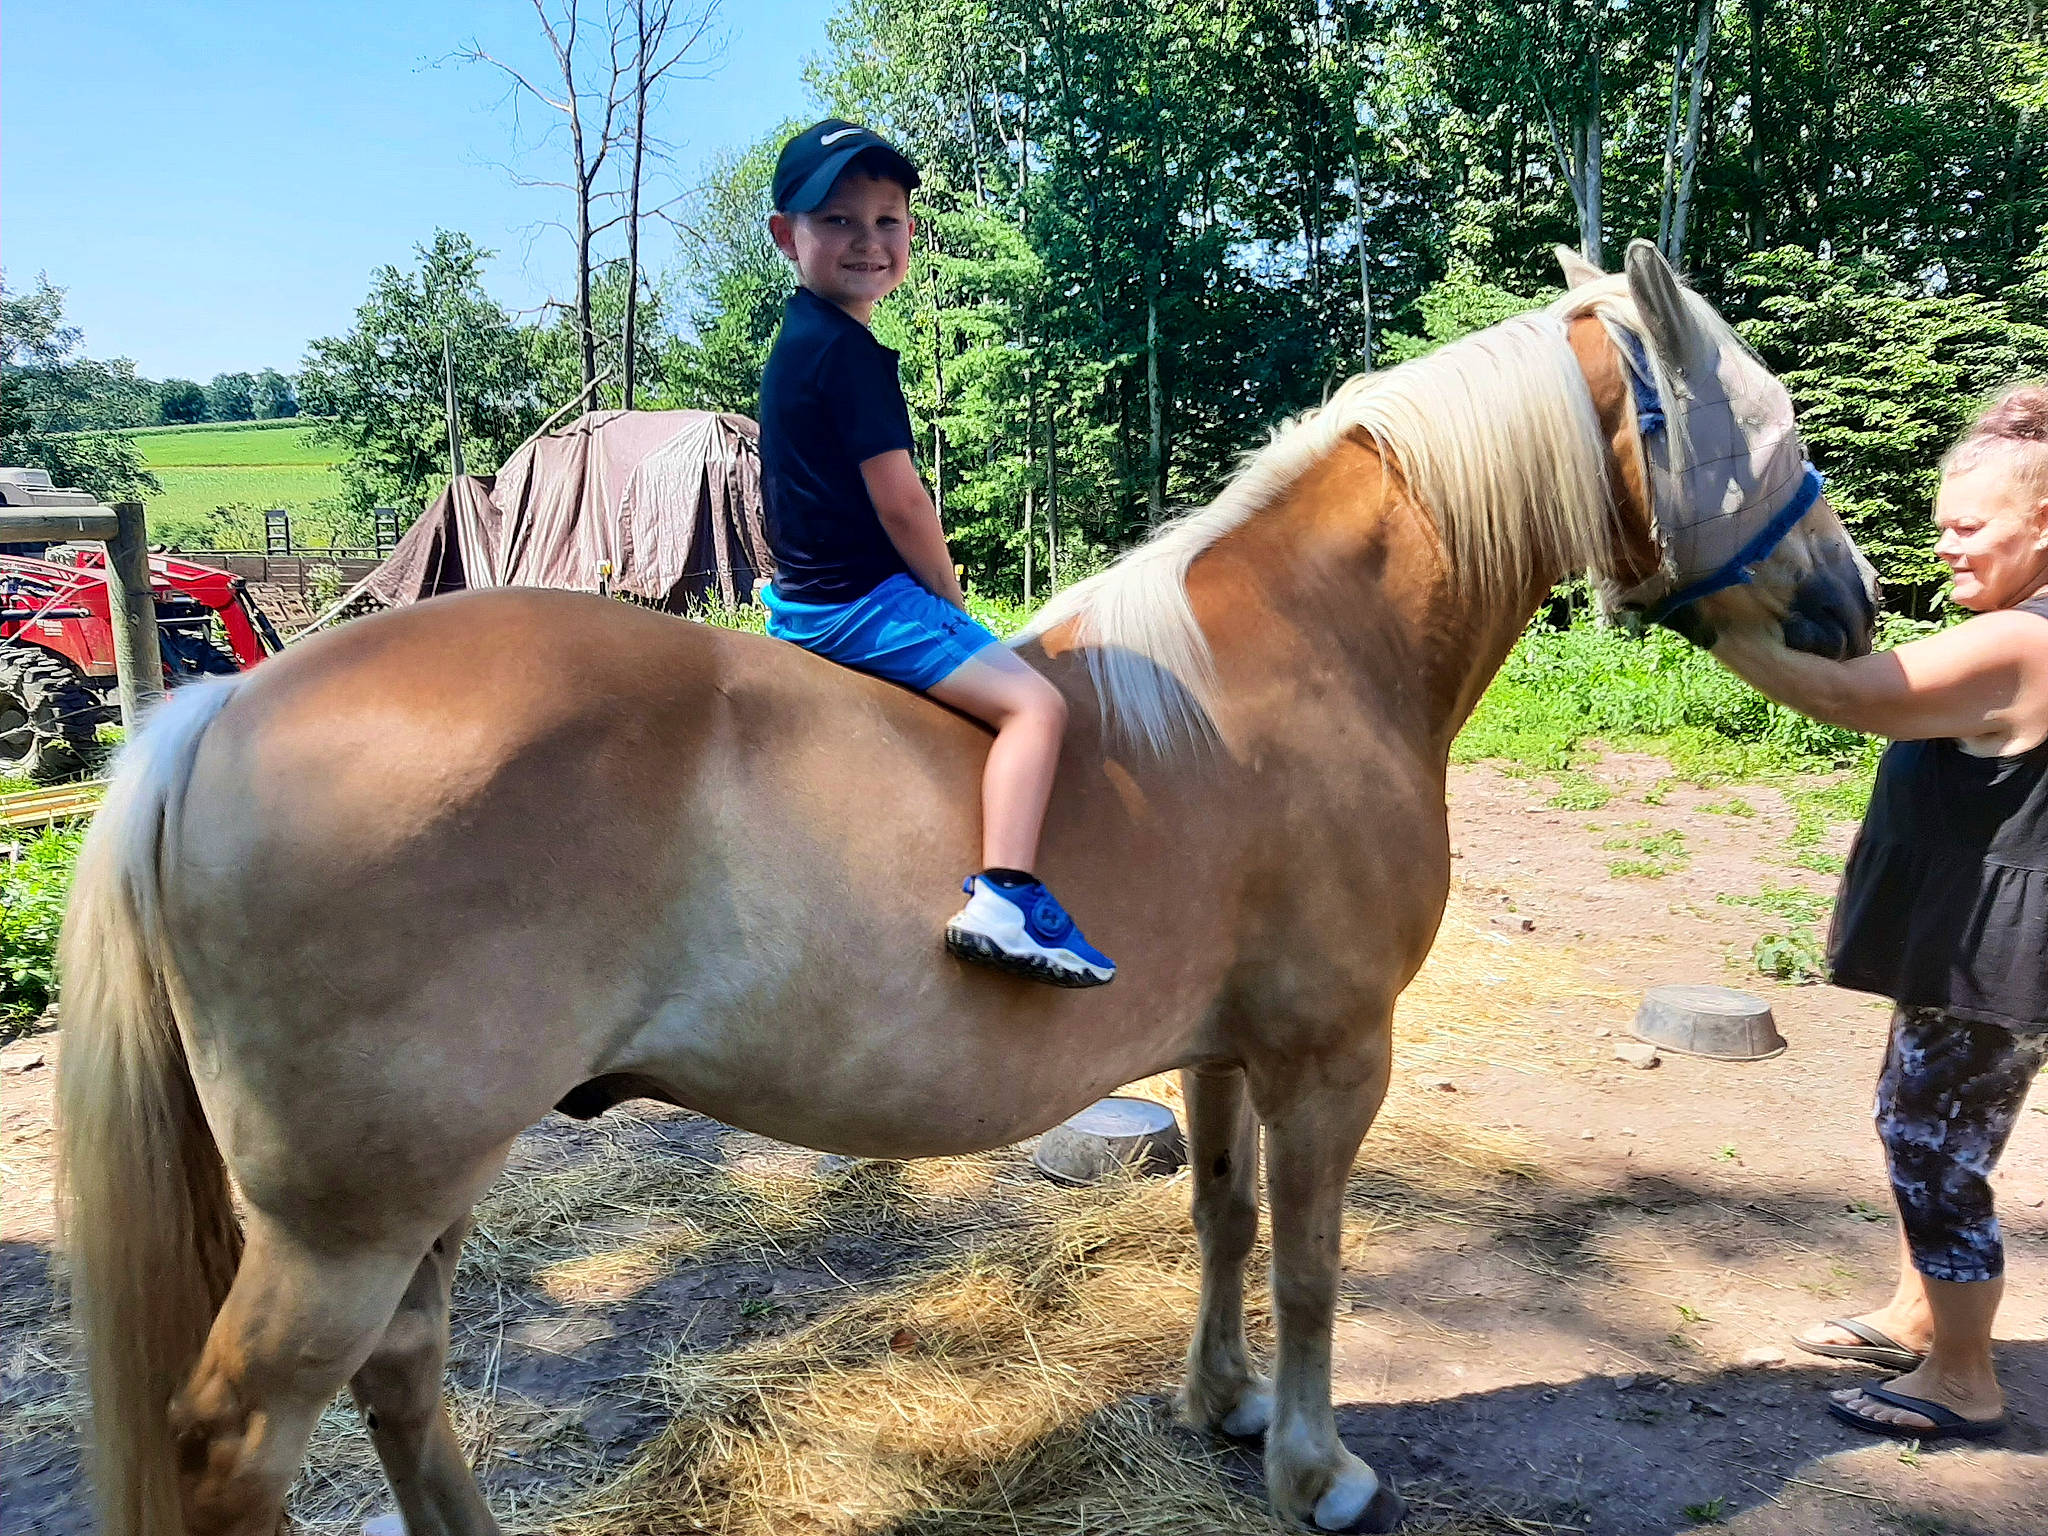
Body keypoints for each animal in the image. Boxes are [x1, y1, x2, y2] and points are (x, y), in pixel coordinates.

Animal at [54, 240, 1874, 1536]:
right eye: (1775, 422)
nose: (1856, 603)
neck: (1295, 664)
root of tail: (218, 714)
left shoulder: (1222, 1053)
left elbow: (1219, 1222)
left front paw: (1221, 1410)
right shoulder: (1328, 1052)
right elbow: (1308, 1257)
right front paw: (1315, 1468)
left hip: (419, 1188)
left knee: (409, 1384)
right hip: (345, 1219)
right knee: (243, 1443)